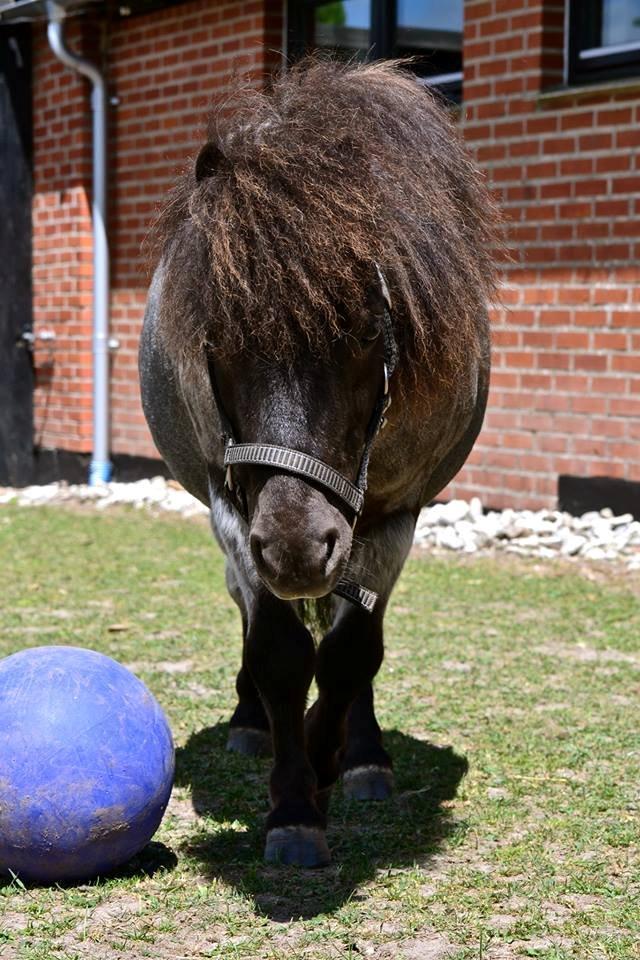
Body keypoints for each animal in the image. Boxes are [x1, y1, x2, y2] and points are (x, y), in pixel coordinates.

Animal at [141, 60, 500, 872]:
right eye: (215, 336)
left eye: (370, 331)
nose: (298, 547)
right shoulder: (232, 505)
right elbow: (277, 651)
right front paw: (294, 806)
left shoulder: (397, 512)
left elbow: (350, 654)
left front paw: (331, 756)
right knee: (248, 608)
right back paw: (252, 722)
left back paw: (362, 755)